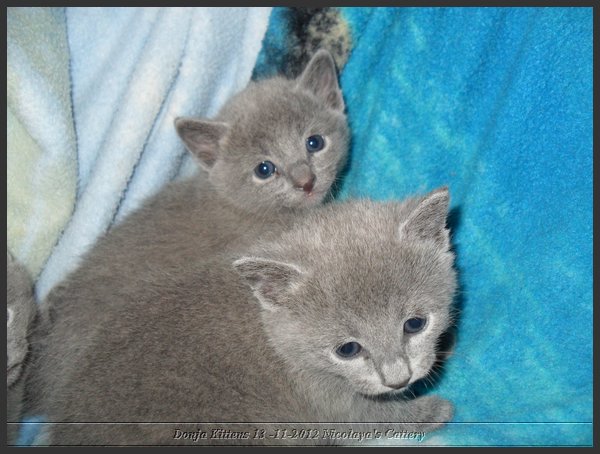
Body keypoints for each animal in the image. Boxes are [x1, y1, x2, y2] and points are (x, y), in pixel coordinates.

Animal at [30, 187, 458, 444]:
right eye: (348, 349)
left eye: (415, 324)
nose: (398, 377)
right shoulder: (324, 403)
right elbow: (374, 418)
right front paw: (435, 409)